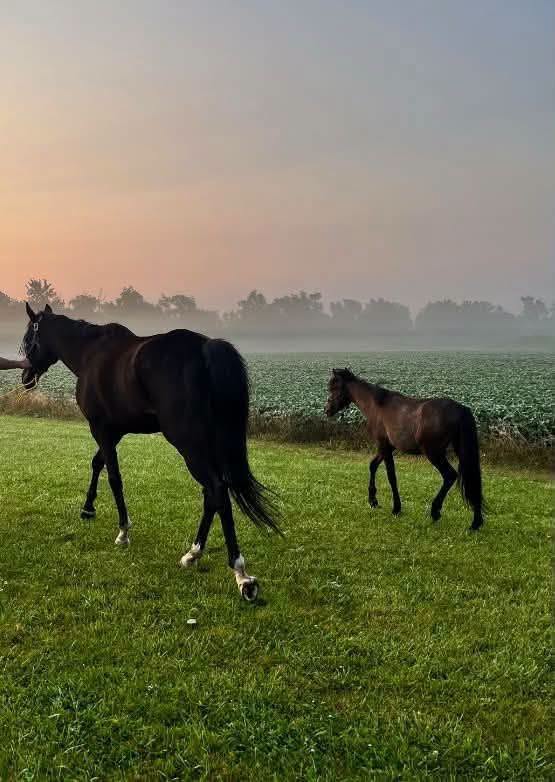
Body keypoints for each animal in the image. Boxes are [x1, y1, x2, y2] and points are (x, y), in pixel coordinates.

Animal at [20, 303, 280, 601]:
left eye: (28, 339)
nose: (25, 378)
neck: (90, 353)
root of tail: (204, 349)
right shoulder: (114, 431)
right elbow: (97, 463)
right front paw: (88, 508)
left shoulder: (101, 429)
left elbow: (114, 477)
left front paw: (123, 531)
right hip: (205, 443)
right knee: (212, 494)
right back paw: (193, 554)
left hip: (189, 444)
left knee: (217, 491)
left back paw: (241, 574)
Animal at [324, 368, 484, 530]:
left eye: (334, 387)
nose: (327, 410)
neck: (377, 406)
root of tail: (460, 409)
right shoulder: (387, 447)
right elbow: (373, 465)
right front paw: (373, 501)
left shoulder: (384, 446)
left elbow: (391, 476)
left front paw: (396, 508)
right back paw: (476, 522)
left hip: (434, 453)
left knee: (450, 475)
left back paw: (435, 512)